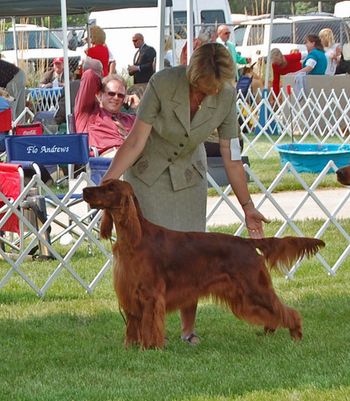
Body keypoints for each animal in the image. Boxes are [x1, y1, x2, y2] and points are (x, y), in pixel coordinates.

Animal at [82, 180, 326, 348]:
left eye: (110, 188)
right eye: (103, 184)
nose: (84, 191)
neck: (134, 238)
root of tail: (247, 242)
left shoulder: (150, 294)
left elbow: (149, 325)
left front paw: (149, 348)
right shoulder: (130, 292)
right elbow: (133, 325)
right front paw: (130, 348)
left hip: (255, 288)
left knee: (287, 310)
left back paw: (296, 334)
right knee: (274, 312)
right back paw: (270, 330)